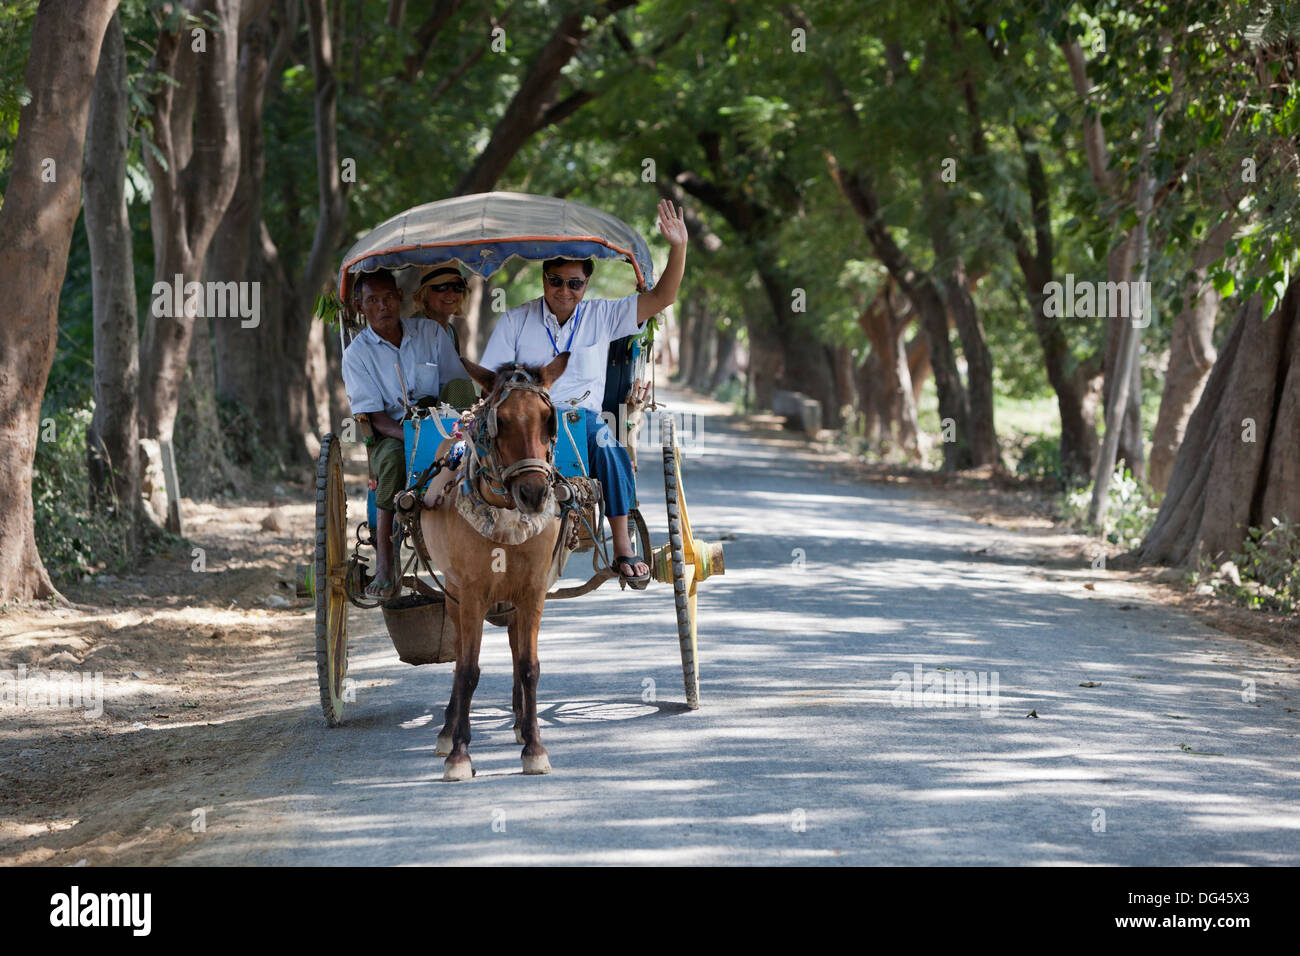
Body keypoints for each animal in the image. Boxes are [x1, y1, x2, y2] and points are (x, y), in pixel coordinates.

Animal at [421, 356, 569, 780]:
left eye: (549, 419)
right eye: (499, 421)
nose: (534, 493)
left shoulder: (533, 591)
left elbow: (529, 665)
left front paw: (535, 748)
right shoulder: (471, 594)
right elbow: (469, 670)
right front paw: (459, 754)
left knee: (516, 647)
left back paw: (521, 724)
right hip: (454, 593)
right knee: (458, 658)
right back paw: (449, 729)